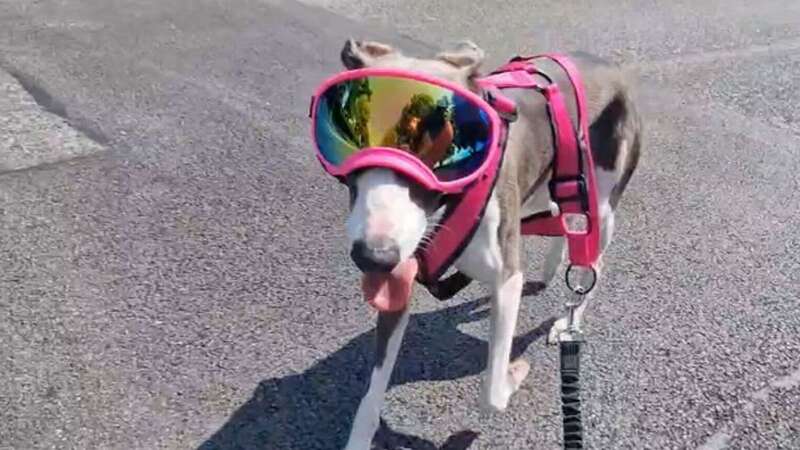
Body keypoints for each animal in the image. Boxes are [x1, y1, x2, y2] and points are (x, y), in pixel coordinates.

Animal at [334, 39, 640, 450]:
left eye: (436, 144)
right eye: (356, 137)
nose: (373, 256)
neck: (455, 201)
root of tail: (611, 67)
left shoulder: (507, 277)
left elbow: (492, 394)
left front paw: (515, 372)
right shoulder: (401, 278)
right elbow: (369, 399)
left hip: (604, 203)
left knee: (592, 261)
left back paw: (568, 319)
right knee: (563, 221)